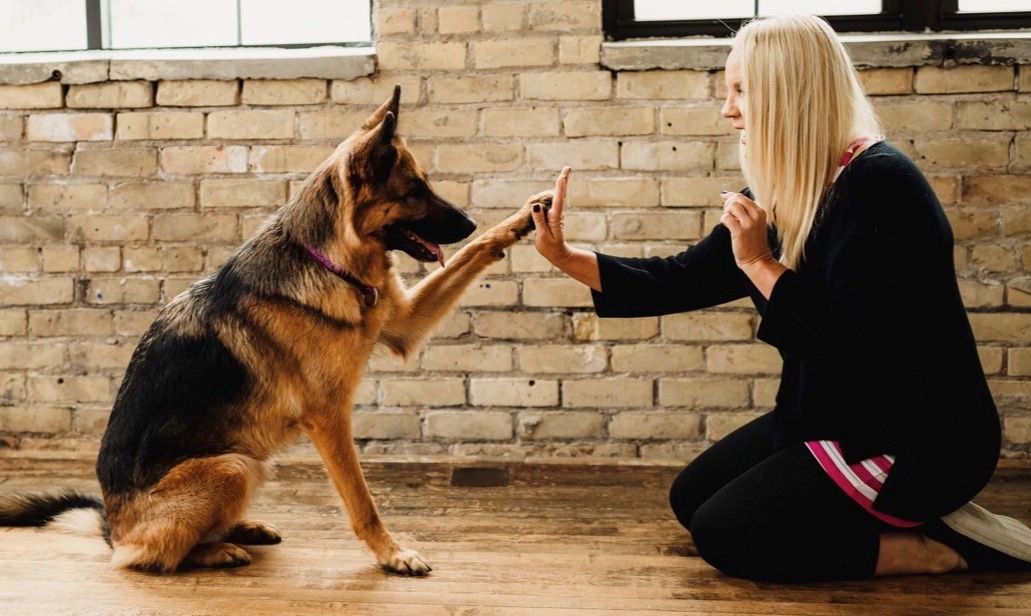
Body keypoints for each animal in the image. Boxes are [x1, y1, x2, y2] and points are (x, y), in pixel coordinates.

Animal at [2, 84, 556, 573]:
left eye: (427, 183)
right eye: (415, 190)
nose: (467, 220)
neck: (327, 259)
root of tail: (111, 527)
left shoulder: (403, 324)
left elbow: (474, 252)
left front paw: (524, 219)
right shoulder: (328, 417)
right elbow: (361, 498)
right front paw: (391, 553)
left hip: (247, 464)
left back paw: (239, 529)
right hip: (232, 466)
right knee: (147, 556)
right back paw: (215, 550)